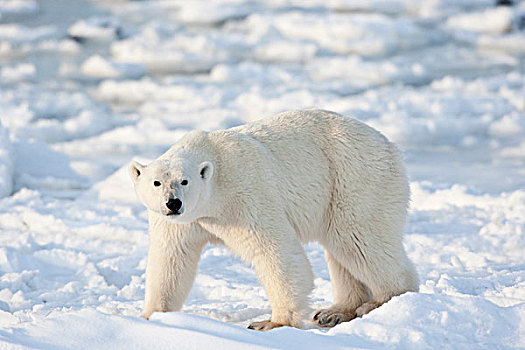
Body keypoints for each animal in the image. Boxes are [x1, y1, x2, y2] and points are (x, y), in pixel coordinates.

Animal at [130, 109, 418, 330]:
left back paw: (381, 301)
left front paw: (271, 322)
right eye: (156, 182)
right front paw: (150, 316)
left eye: (185, 181)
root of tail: (389, 145)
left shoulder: (246, 195)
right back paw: (335, 311)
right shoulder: (179, 223)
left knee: (359, 239)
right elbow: (170, 261)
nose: (173, 203)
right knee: (342, 250)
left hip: (354, 178)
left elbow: (274, 250)